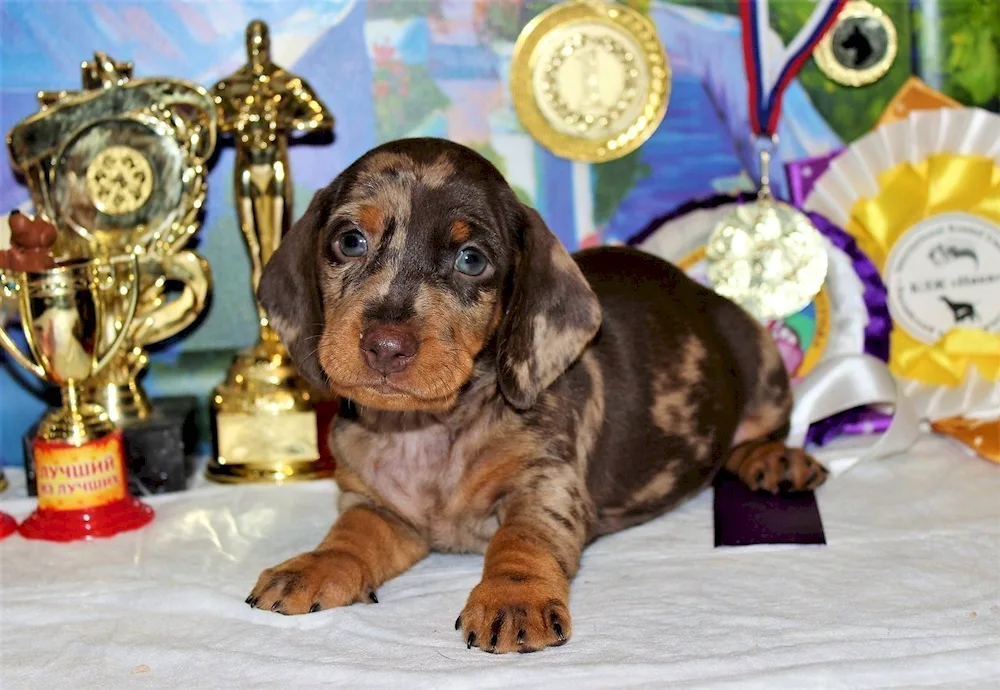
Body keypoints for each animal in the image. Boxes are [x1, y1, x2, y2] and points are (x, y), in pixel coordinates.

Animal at [246, 138, 824, 652]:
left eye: (471, 259)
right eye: (350, 241)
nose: (386, 346)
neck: (427, 431)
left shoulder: (546, 487)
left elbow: (521, 540)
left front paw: (512, 598)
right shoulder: (377, 505)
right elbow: (351, 533)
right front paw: (316, 564)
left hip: (762, 357)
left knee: (762, 432)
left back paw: (772, 458)